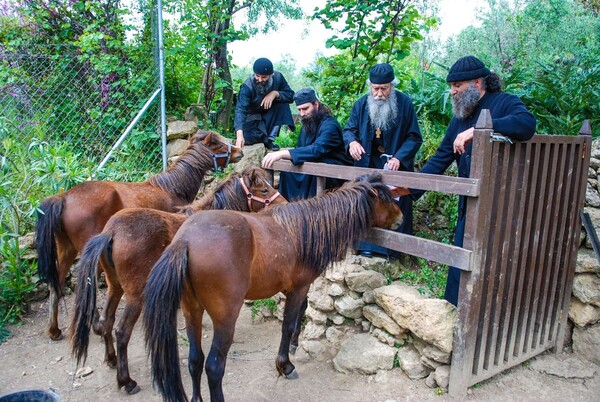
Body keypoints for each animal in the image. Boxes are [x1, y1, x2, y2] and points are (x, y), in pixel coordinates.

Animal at [34, 130, 241, 340]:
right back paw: (95, 325)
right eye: (218, 145)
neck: (172, 188)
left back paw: (54, 329)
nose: (239, 151)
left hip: (66, 250)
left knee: (56, 285)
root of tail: (64, 197)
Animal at [69, 166, 284, 396]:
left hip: (115, 287)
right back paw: (126, 381)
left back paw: (111, 359)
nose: (283, 203)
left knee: (106, 322)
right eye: (264, 189)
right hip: (135, 296)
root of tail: (111, 231)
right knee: (122, 331)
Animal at [142, 172, 400, 402]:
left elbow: (301, 313)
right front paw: (285, 365)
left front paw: (295, 345)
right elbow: (288, 324)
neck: (304, 228)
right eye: (386, 197)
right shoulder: (299, 288)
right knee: (214, 366)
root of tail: (185, 240)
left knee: (195, 359)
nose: (401, 217)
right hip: (225, 319)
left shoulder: (294, 288)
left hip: (191, 311)